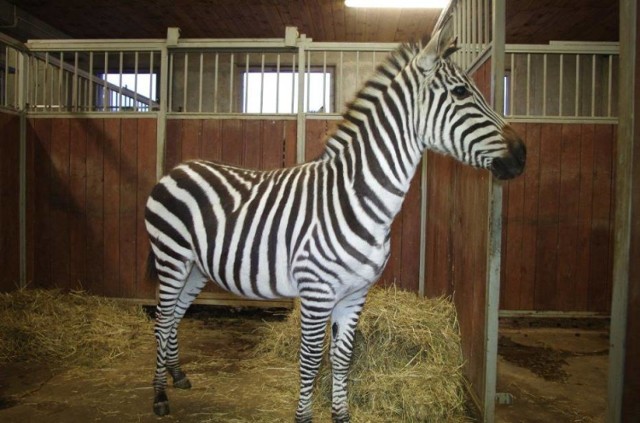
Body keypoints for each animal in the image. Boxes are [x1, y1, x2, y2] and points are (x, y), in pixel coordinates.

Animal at [146, 20, 524, 423]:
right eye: (460, 91)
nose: (523, 154)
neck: (357, 199)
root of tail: (177, 169)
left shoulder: (355, 293)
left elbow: (343, 358)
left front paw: (341, 415)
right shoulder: (317, 292)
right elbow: (311, 361)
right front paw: (303, 416)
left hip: (195, 267)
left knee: (175, 316)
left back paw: (177, 375)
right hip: (171, 258)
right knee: (162, 320)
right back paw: (159, 395)